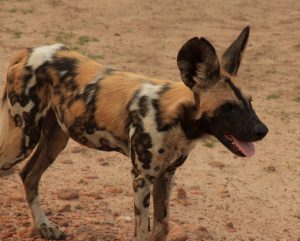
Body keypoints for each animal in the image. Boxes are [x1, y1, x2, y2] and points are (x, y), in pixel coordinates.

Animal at [0, 25, 268, 240]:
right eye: (227, 107)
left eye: (250, 103)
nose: (263, 131)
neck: (176, 121)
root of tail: (29, 51)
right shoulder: (141, 178)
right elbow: (142, 232)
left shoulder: (166, 175)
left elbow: (161, 228)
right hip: (23, 139)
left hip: (55, 140)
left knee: (28, 175)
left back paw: (45, 226)